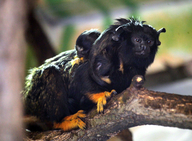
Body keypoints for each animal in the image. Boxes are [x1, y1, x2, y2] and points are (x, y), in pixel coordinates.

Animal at [22, 17, 166, 131]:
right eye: (137, 40)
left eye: (149, 42)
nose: (144, 47)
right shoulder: (99, 59)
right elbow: (80, 78)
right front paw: (101, 96)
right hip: (35, 99)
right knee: (50, 73)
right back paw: (62, 122)